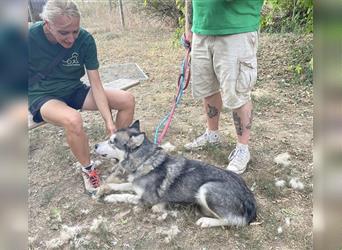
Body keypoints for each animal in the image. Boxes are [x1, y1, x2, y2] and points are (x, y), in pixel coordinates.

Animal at [94, 120, 256, 228]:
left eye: (112, 142)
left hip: (206, 188)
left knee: (235, 221)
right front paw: (104, 189)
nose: (95, 145)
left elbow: (125, 195)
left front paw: (110, 197)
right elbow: (120, 185)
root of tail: (250, 200)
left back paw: (207, 221)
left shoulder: (148, 199)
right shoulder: (134, 184)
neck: (145, 160)